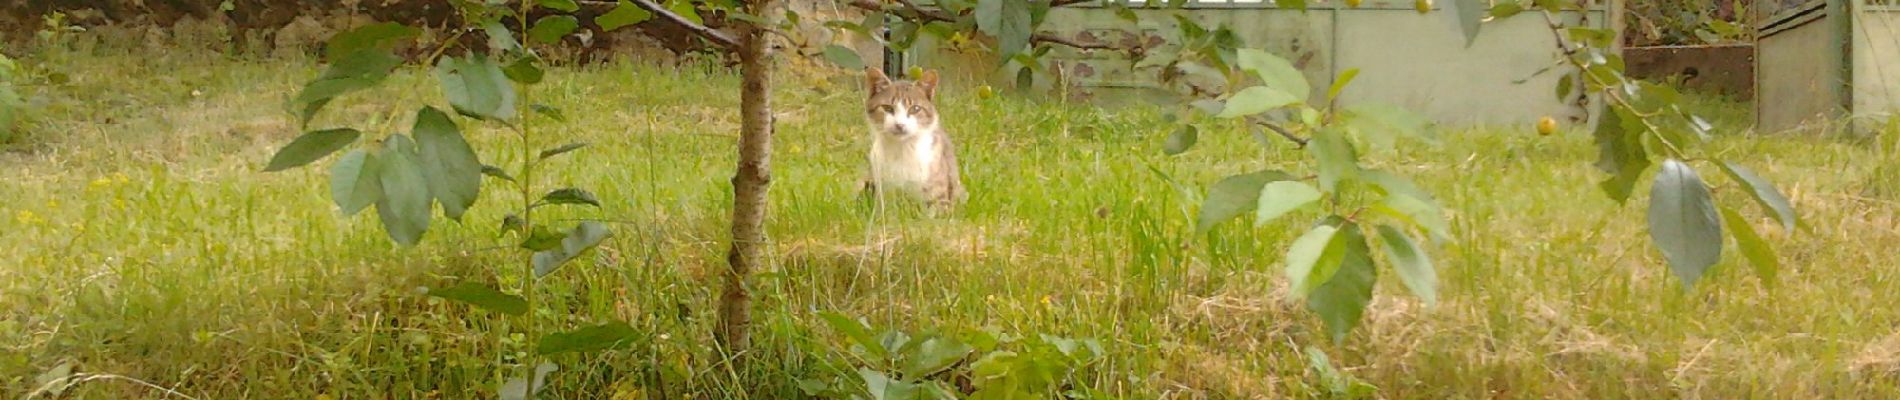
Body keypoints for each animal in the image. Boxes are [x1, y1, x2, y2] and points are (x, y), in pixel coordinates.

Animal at [870, 66, 972, 209]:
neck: (902, 149)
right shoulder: (884, 187)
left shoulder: (937, 194)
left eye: (915, 108)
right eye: (887, 108)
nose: (900, 125)